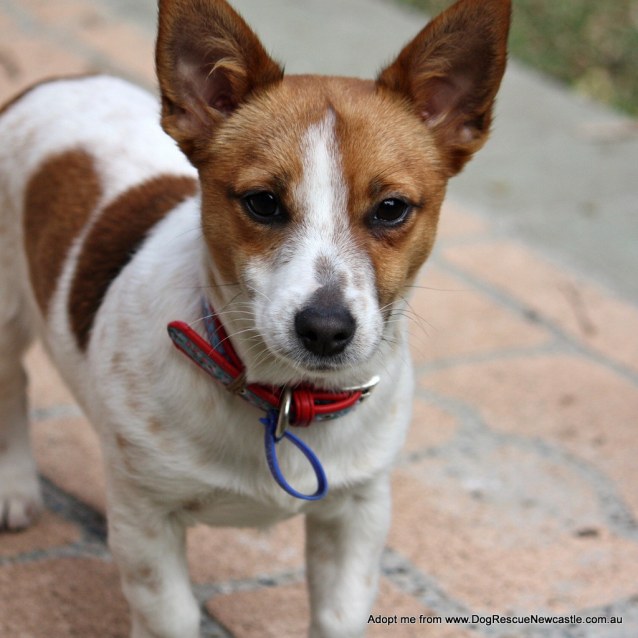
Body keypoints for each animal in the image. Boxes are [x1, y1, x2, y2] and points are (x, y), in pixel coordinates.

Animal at [0, 0, 512, 636]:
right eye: (263, 203)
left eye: (392, 209)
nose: (325, 329)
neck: (284, 397)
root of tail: (53, 83)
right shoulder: (144, 519)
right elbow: (171, 615)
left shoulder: (358, 512)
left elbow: (340, 614)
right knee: (12, 384)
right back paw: (16, 485)